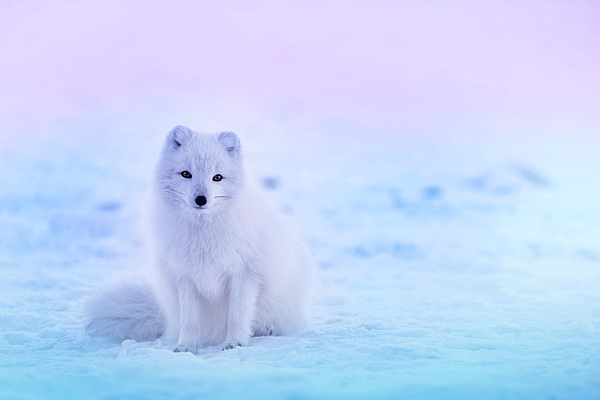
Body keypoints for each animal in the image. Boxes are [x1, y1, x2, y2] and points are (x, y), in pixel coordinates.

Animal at [88, 126, 318, 352]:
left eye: (217, 177)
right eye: (186, 174)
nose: (201, 199)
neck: (204, 233)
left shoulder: (244, 275)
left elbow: (238, 315)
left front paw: (235, 342)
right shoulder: (186, 277)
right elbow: (190, 319)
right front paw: (186, 346)